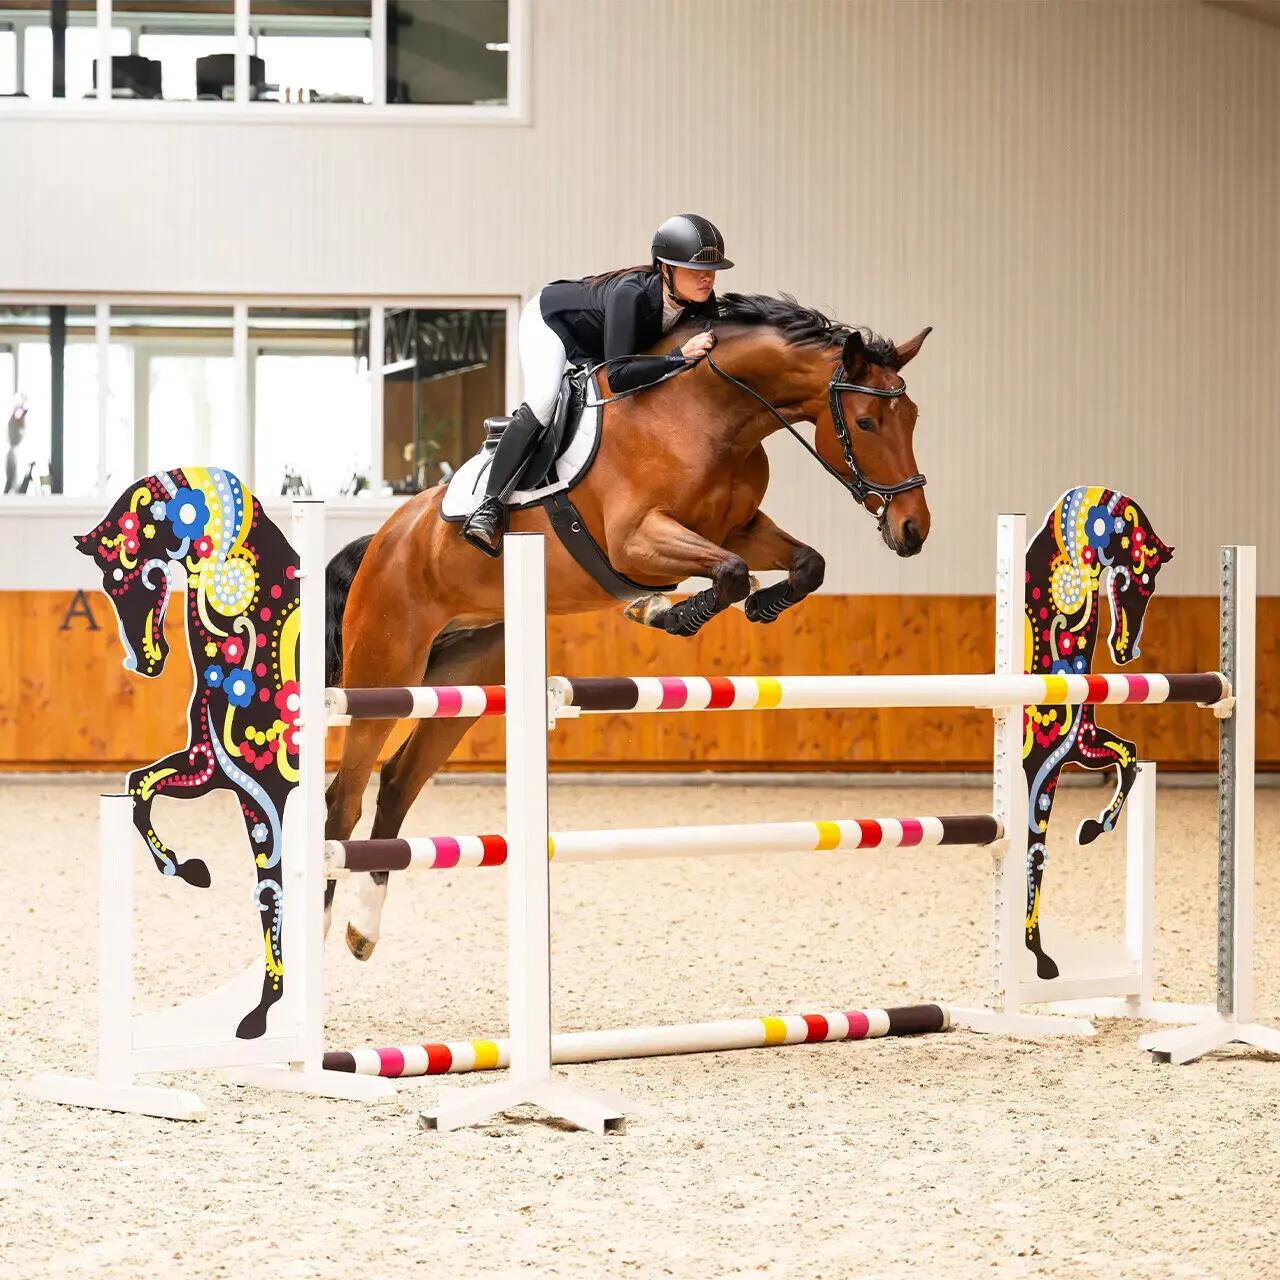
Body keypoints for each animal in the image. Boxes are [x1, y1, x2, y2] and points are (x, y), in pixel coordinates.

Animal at [75, 467, 301, 1039]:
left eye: (124, 578)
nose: (145, 662)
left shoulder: (264, 793)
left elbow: (270, 892)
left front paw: (261, 1013)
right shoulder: (208, 767)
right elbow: (139, 789)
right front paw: (191, 869)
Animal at [324, 293, 933, 960]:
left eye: (913, 418)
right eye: (867, 423)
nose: (913, 529)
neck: (709, 415)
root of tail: (385, 537)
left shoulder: (738, 527)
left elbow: (803, 564)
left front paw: (755, 606)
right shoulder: (638, 541)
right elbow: (730, 573)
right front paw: (664, 610)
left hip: (468, 677)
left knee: (398, 782)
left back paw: (363, 929)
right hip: (385, 668)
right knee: (344, 796)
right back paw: (319, 925)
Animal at [1021, 486, 1173, 978]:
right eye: (1139, 582)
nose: (1127, 653)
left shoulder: (1084, 746)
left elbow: (1129, 756)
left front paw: (1091, 828)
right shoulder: (1043, 768)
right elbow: (1034, 854)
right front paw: (1039, 958)